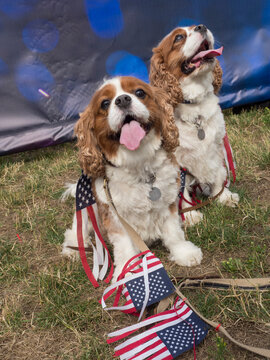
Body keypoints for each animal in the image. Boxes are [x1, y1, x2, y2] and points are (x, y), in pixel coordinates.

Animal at [62, 76, 201, 282]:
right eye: (105, 103)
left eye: (140, 92)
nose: (122, 100)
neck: (138, 163)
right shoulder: (114, 216)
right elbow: (125, 247)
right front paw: (126, 273)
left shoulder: (167, 201)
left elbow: (174, 232)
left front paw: (184, 252)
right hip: (87, 206)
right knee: (77, 228)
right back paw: (73, 247)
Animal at [151, 23, 239, 225]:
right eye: (178, 38)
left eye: (195, 26)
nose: (202, 26)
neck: (195, 105)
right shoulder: (176, 162)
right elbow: (180, 190)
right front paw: (190, 214)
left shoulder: (216, 148)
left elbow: (217, 174)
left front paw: (223, 196)